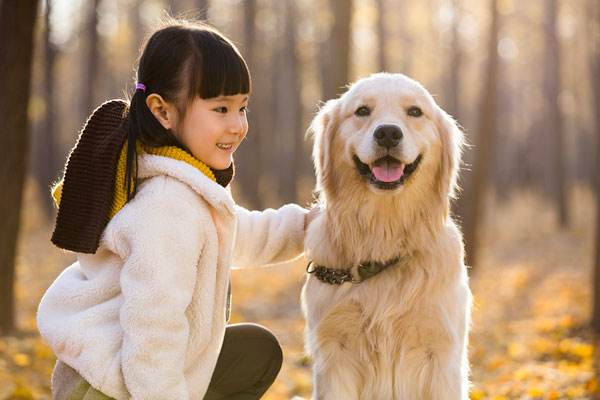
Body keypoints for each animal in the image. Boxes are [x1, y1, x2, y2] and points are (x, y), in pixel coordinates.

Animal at [302, 72, 472, 400]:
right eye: (362, 111)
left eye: (415, 111)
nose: (388, 134)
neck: (384, 234)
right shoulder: (335, 353)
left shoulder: (440, 351)